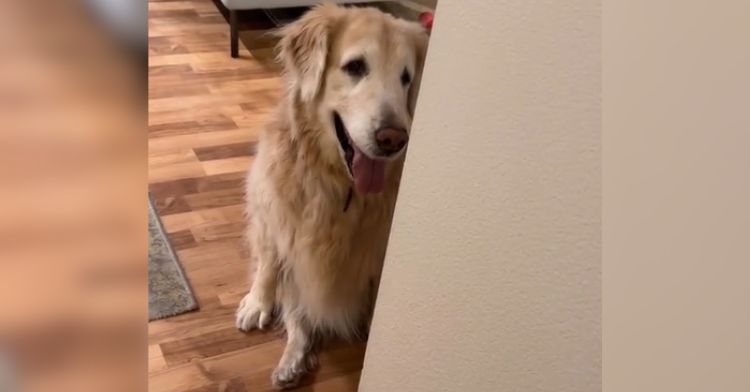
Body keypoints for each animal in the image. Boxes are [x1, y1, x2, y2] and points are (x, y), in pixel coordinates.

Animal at [235, 3, 428, 388]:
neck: (338, 182)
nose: (394, 139)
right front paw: (257, 302)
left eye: (406, 78)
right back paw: (291, 362)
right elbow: (267, 264)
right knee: (299, 318)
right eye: (355, 67)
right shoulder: (270, 213)